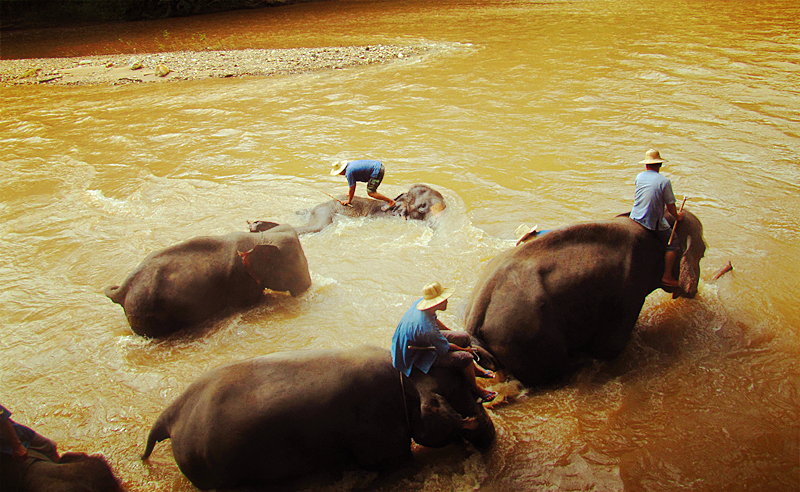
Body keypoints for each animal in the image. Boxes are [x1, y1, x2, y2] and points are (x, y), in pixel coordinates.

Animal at [142, 344, 494, 490]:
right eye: (464, 393)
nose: (490, 433)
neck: (406, 377)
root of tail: (169, 416)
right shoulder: (381, 438)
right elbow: (397, 463)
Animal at [462, 211, 708, 388]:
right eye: (704, 250)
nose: (695, 293)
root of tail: (475, 316)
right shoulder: (629, 292)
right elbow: (609, 348)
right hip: (527, 337)